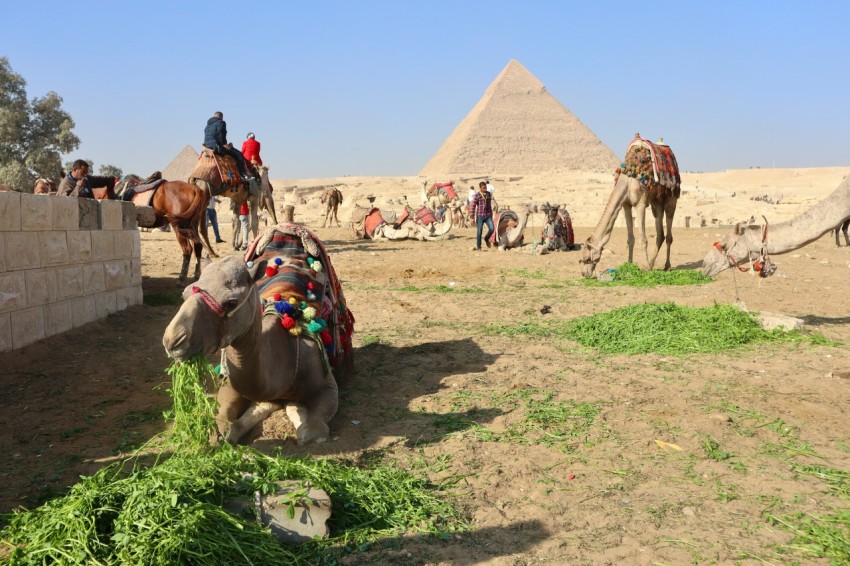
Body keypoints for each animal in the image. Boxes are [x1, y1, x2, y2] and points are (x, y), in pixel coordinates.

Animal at [576, 136, 684, 282]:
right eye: (581, 259)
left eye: (587, 258)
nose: (584, 274)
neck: (627, 181)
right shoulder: (625, 205)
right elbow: (630, 239)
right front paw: (629, 265)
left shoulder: (641, 204)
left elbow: (643, 239)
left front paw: (646, 268)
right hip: (656, 203)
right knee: (660, 233)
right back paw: (652, 263)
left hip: (671, 198)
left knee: (668, 234)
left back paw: (666, 265)